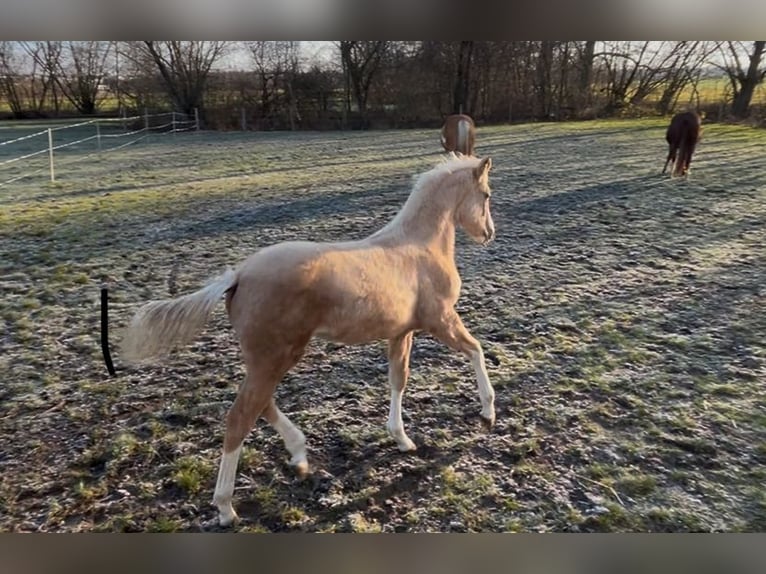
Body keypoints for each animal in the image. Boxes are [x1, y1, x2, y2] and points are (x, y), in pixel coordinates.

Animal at [121, 154, 498, 527]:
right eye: (487, 194)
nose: (489, 234)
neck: (419, 246)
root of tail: (237, 275)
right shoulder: (440, 320)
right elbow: (476, 350)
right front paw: (487, 413)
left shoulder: (401, 332)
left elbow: (398, 379)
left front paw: (402, 439)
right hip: (278, 356)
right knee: (241, 416)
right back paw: (227, 507)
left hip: (267, 358)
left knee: (261, 403)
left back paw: (299, 455)